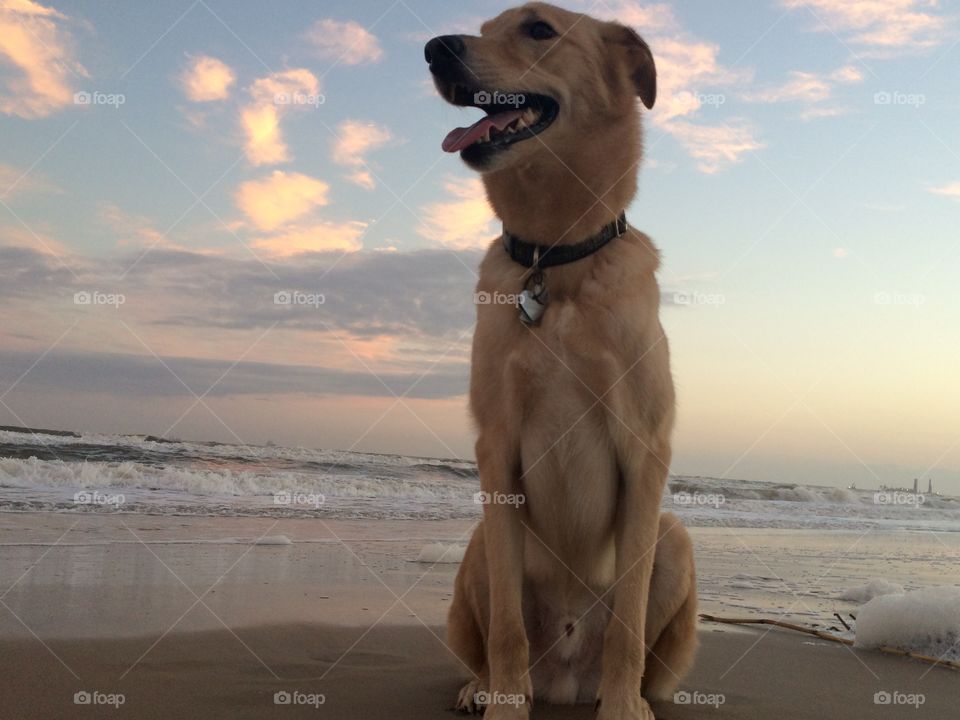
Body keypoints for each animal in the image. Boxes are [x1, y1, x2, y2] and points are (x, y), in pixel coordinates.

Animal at [428, 2, 696, 716]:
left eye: (539, 29)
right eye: (484, 29)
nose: (435, 49)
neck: (554, 259)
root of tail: (567, 679)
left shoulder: (645, 450)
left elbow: (628, 623)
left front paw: (624, 708)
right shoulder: (496, 448)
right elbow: (506, 629)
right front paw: (505, 705)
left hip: (673, 537)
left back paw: (630, 696)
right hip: (481, 544)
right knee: (496, 635)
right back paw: (485, 687)